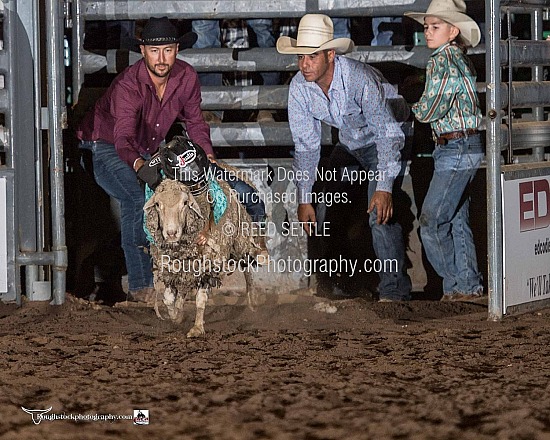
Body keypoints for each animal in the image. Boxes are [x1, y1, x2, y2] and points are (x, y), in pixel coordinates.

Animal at [144, 177, 260, 336]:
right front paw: (176, 316)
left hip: (240, 241)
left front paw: (197, 328)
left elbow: (200, 299)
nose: (171, 233)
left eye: (185, 203)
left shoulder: (207, 267)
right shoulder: (168, 269)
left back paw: (252, 301)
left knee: (247, 267)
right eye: (157, 204)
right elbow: (168, 299)